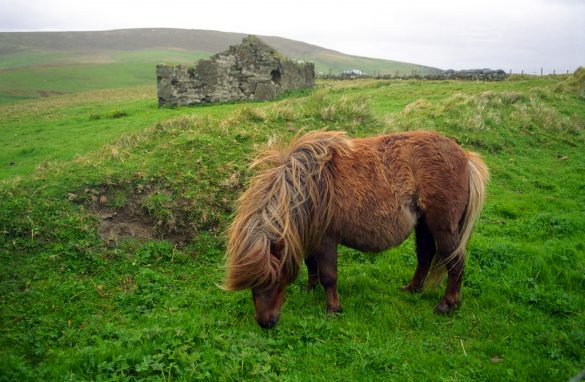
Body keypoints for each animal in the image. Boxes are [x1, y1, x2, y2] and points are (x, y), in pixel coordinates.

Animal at [224, 131, 488, 328]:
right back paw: (412, 289)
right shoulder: (310, 235)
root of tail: (465, 156)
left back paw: (447, 304)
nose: (265, 322)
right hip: (423, 225)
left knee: (455, 263)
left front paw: (333, 309)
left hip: (443, 228)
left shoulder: (326, 240)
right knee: (425, 256)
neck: (310, 185)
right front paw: (309, 288)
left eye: (273, 278)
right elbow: (311, 265)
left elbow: (329, 276)